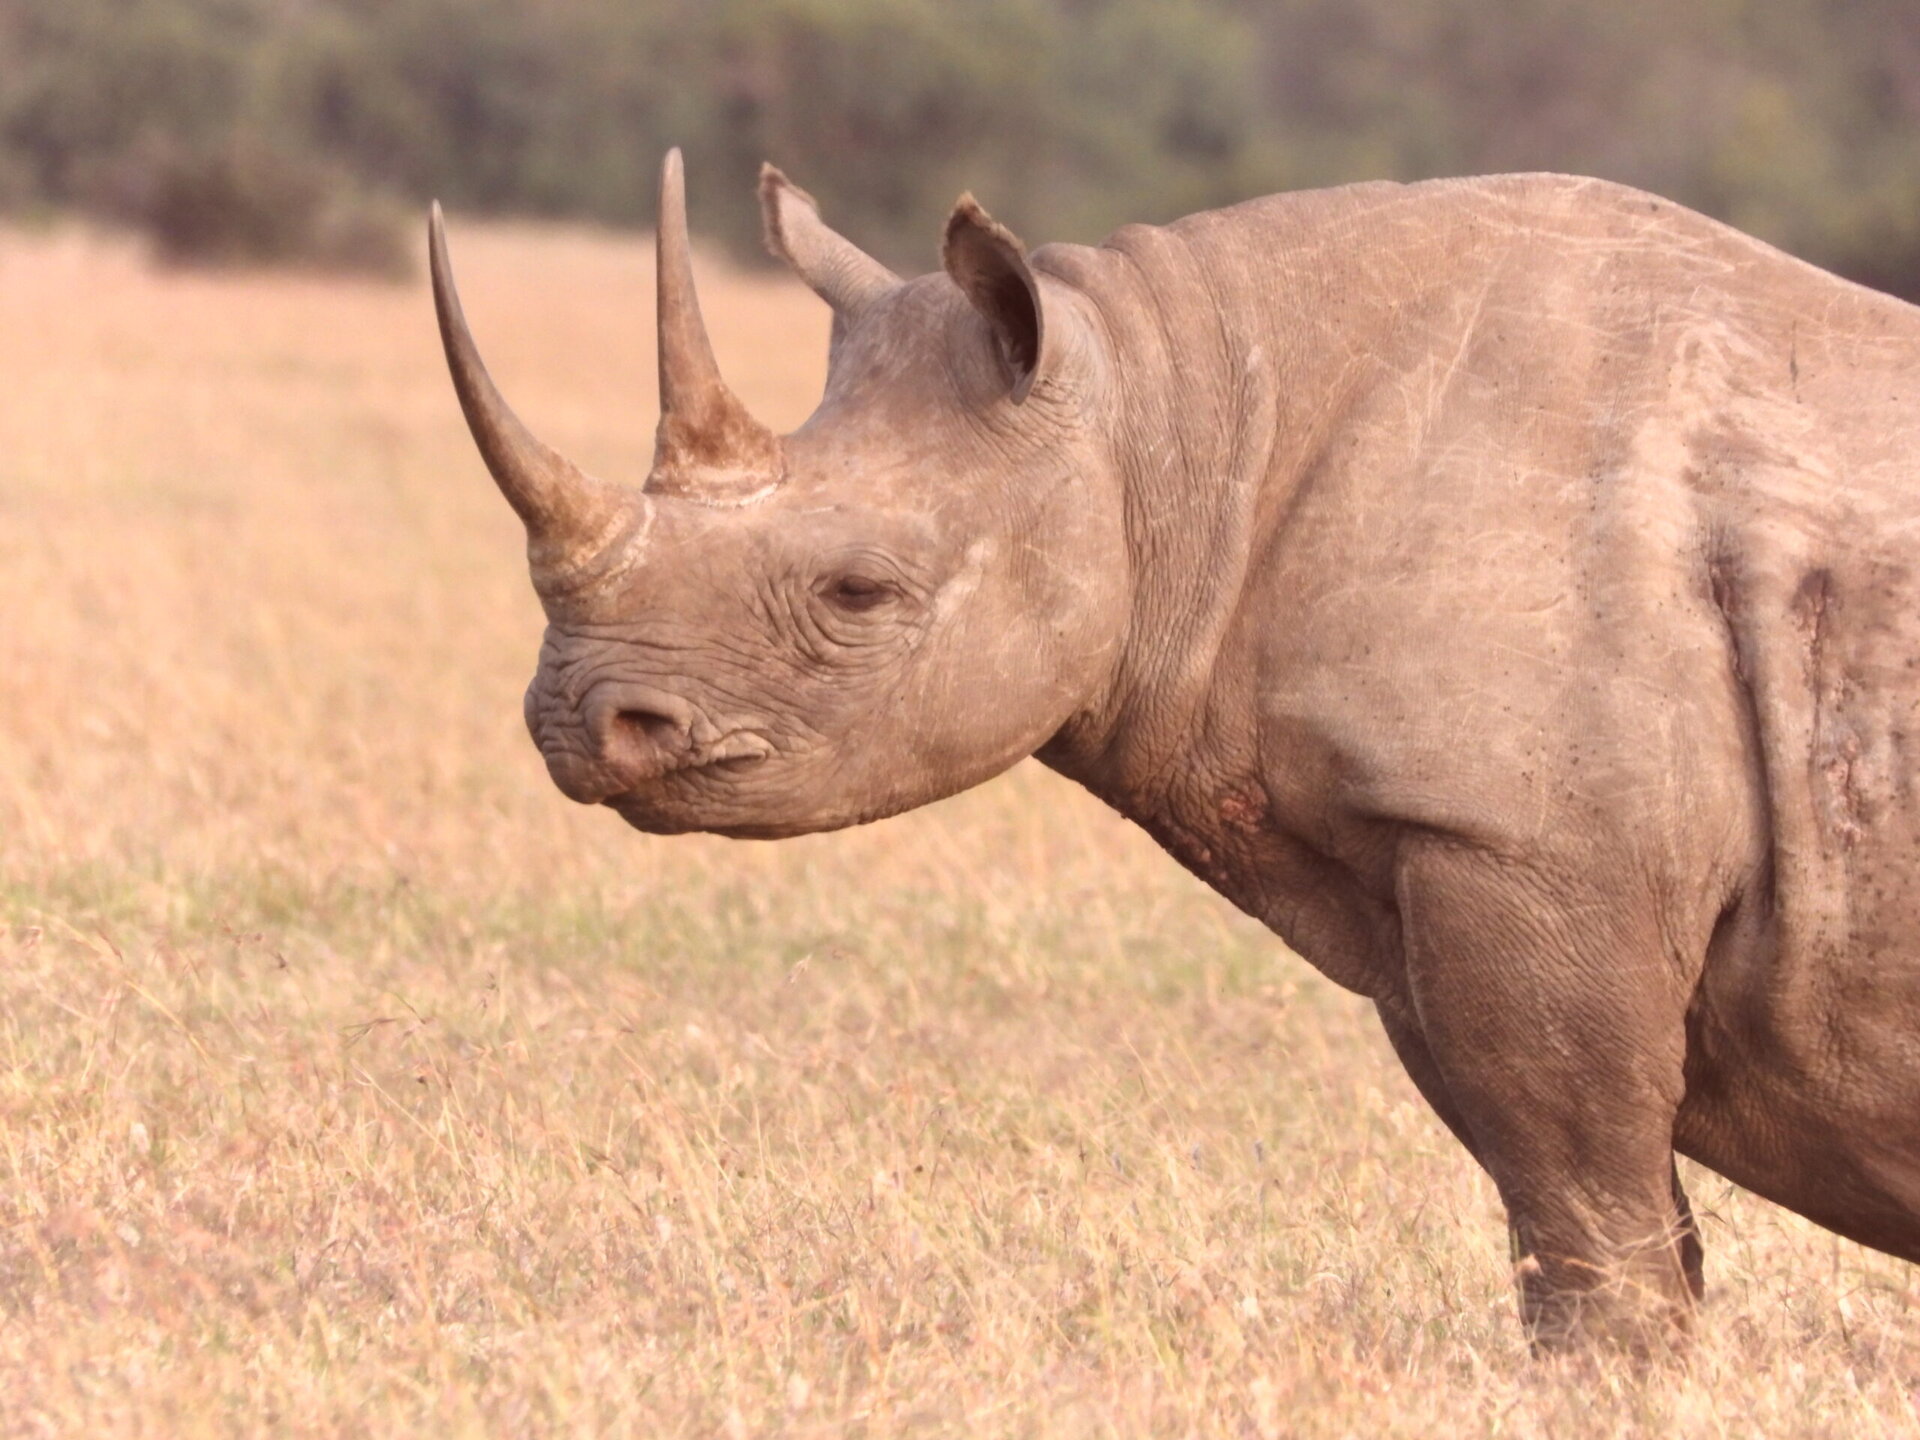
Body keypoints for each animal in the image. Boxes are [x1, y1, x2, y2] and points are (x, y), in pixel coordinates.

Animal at [428, 149, 1920, 1348]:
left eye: (858, 595)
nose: (580, 721)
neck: (1173, 434)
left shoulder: (1525, 843)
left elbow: (1590, 1227)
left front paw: (1614, 1384)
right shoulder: (1445, 871)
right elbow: (1591, 1215)